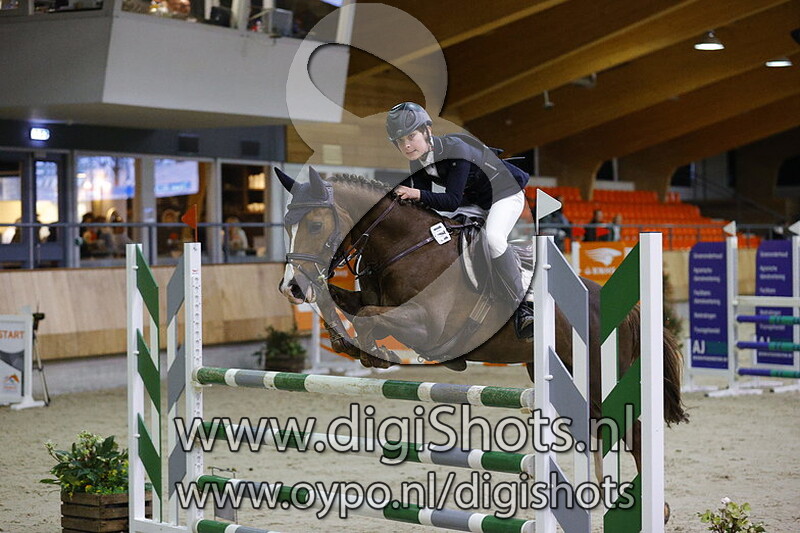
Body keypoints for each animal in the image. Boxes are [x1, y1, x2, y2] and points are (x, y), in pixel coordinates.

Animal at [275, 166, 687, 508]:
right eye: (286, 226)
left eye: (315, 225)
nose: (291, 287)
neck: (404, 247)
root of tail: (617, 303)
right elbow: (346, 304)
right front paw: (350, 344)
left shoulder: (428, 324)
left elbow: (371, 317)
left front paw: (371, 351)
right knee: (600, 426)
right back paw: (601, 495)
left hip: (603, 375)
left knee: (632, 429)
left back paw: (654, 508)